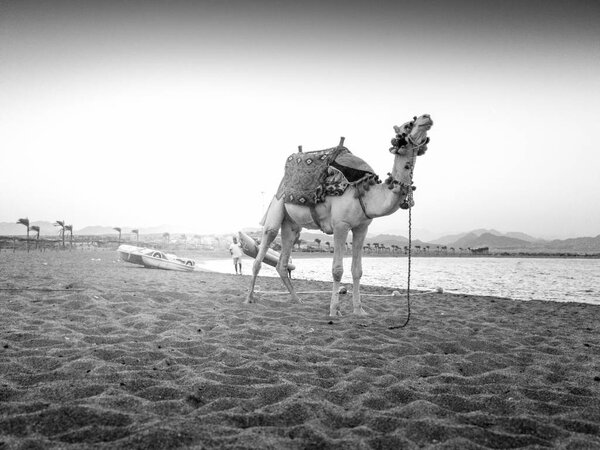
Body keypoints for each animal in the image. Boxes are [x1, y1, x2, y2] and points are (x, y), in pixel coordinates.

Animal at [246, 113, 434, 316]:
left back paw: (297, 299)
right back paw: (249, 298)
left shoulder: (362, 227)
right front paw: (334, 310)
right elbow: (337, 270)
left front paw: (359, 310)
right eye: (408, 124)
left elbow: (357, 270)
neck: (365, 193)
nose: (427, 117)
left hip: (292, 225)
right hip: (277, 205)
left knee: (283, 260)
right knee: (262, 250)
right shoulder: (340, 225)